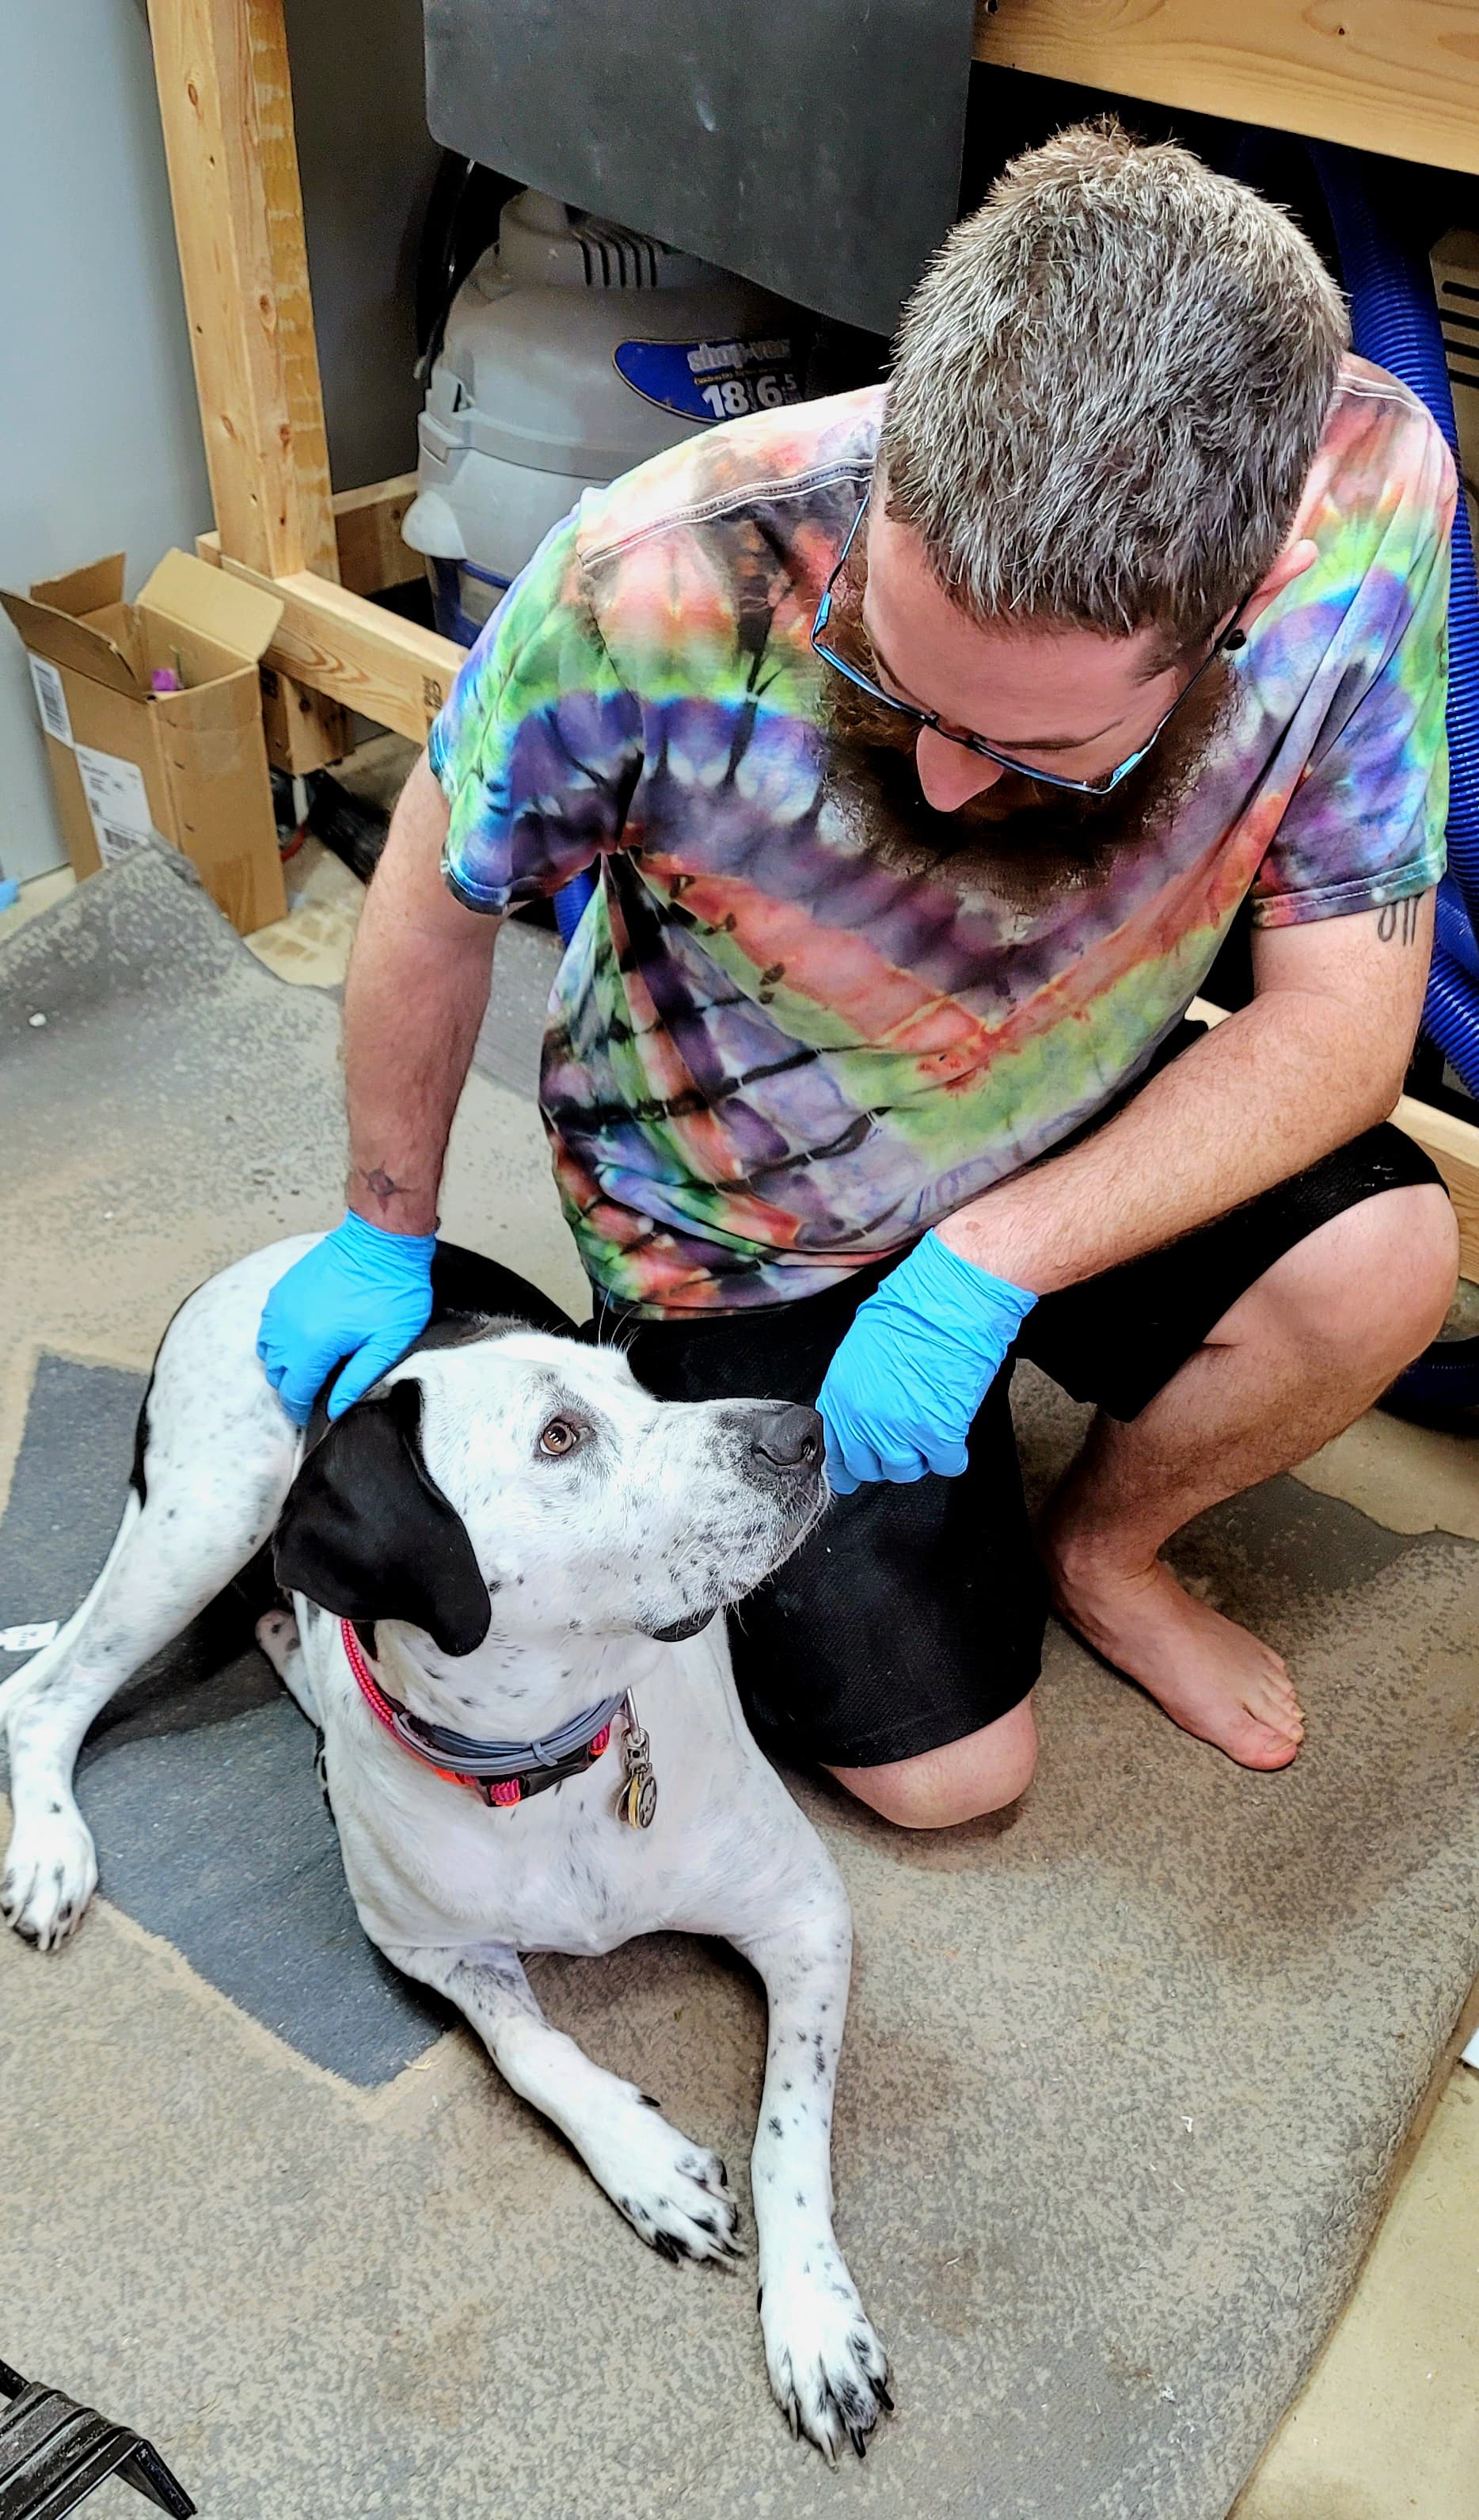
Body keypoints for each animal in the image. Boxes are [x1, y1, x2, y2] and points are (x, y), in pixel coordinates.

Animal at [0, 1239, 892, 2459]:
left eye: (639, 1386)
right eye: (559, 1437)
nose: (802, 1429)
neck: (548, 1758)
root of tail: (273, 1252)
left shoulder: (803, 1908)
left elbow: (787, 2124)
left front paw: (812, 2317)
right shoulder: (430, 1947)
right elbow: (530, 2051)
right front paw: (644, 2162)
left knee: (266, 1625)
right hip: (199, 1521)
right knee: (44, 1693)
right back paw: (52, 1846)